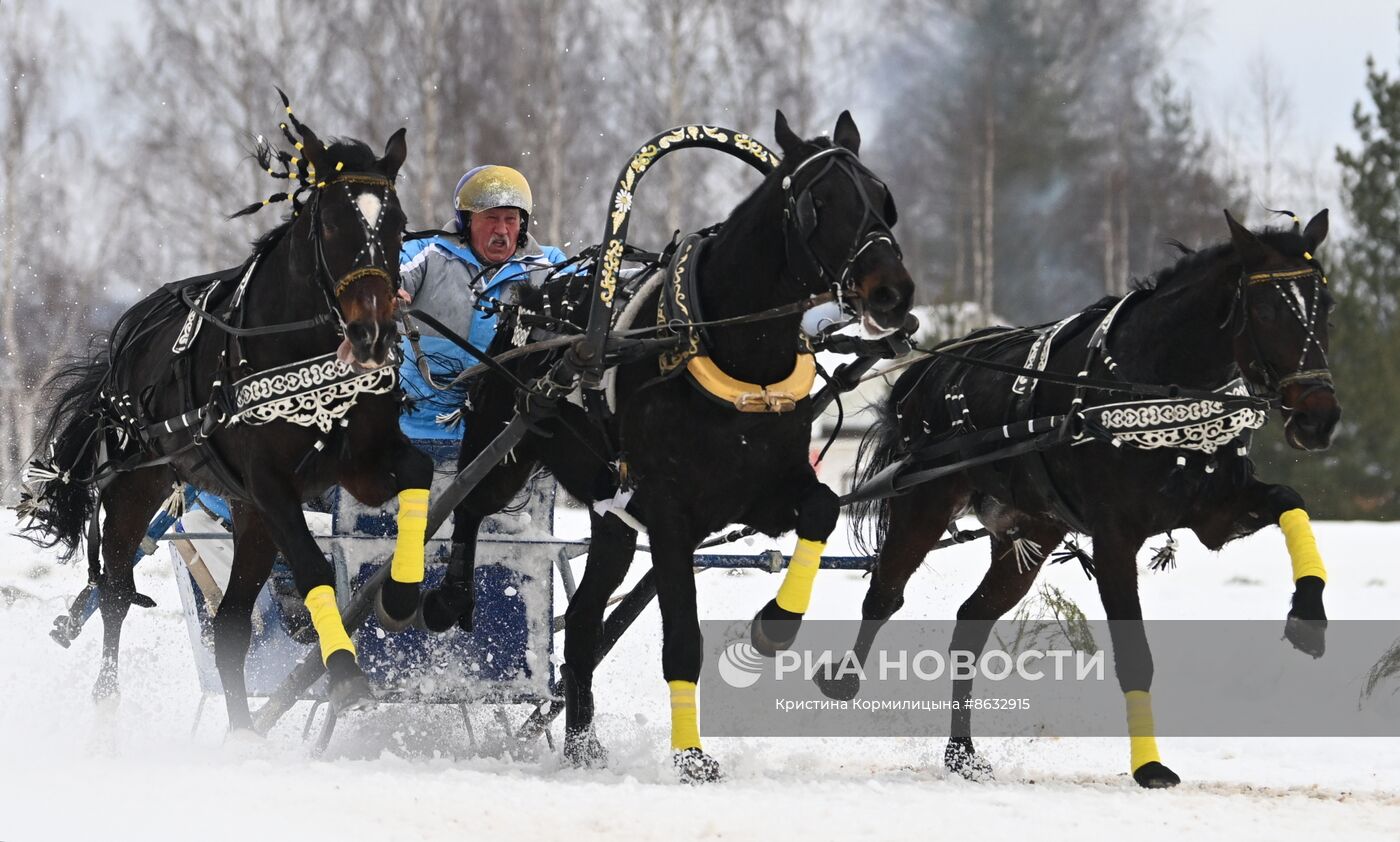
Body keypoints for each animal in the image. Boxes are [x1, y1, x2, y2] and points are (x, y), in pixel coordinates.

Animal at [20, 100, 431, 728]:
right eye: (332, 225)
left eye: (398, 225)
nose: (373, 333)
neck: (300, 351)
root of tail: (125, 344)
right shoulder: (271, 484)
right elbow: (313, 570)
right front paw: (346, 675)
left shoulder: (357, 464)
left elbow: (419, 472)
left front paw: (403, 595)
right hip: (139, 490)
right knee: (114, 593)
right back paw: (107, 709)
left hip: (248, 514)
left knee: (232, 625)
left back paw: (241, 734)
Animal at [414, 111, 918, 778]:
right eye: (820, 202)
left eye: (883, 199)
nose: (894, 293)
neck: (722, 350)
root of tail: (524, 301)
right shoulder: (669, 514)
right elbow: (681, 638)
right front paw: (692, 756)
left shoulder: (766, 492)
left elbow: (822, 506)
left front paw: (773, 627)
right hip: (510, 443)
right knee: (470, 504)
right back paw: (449, 598)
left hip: (611, 514)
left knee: (582, 621)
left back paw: (583, 745)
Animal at [817, 207, 1332, 784]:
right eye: (1266, 308)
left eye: (1327, 305)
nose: (1319, 418)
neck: (1144, 391)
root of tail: (929, 369)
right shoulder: (1114, 538)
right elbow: (1135, 656)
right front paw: (1150, 765)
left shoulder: (1217, 513)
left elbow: (1291, 501)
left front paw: (1308, 611)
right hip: (922, 504)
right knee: (884, 593)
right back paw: (842, 677)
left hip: (1032, 533)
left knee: (970, 623)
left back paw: (961, 752)